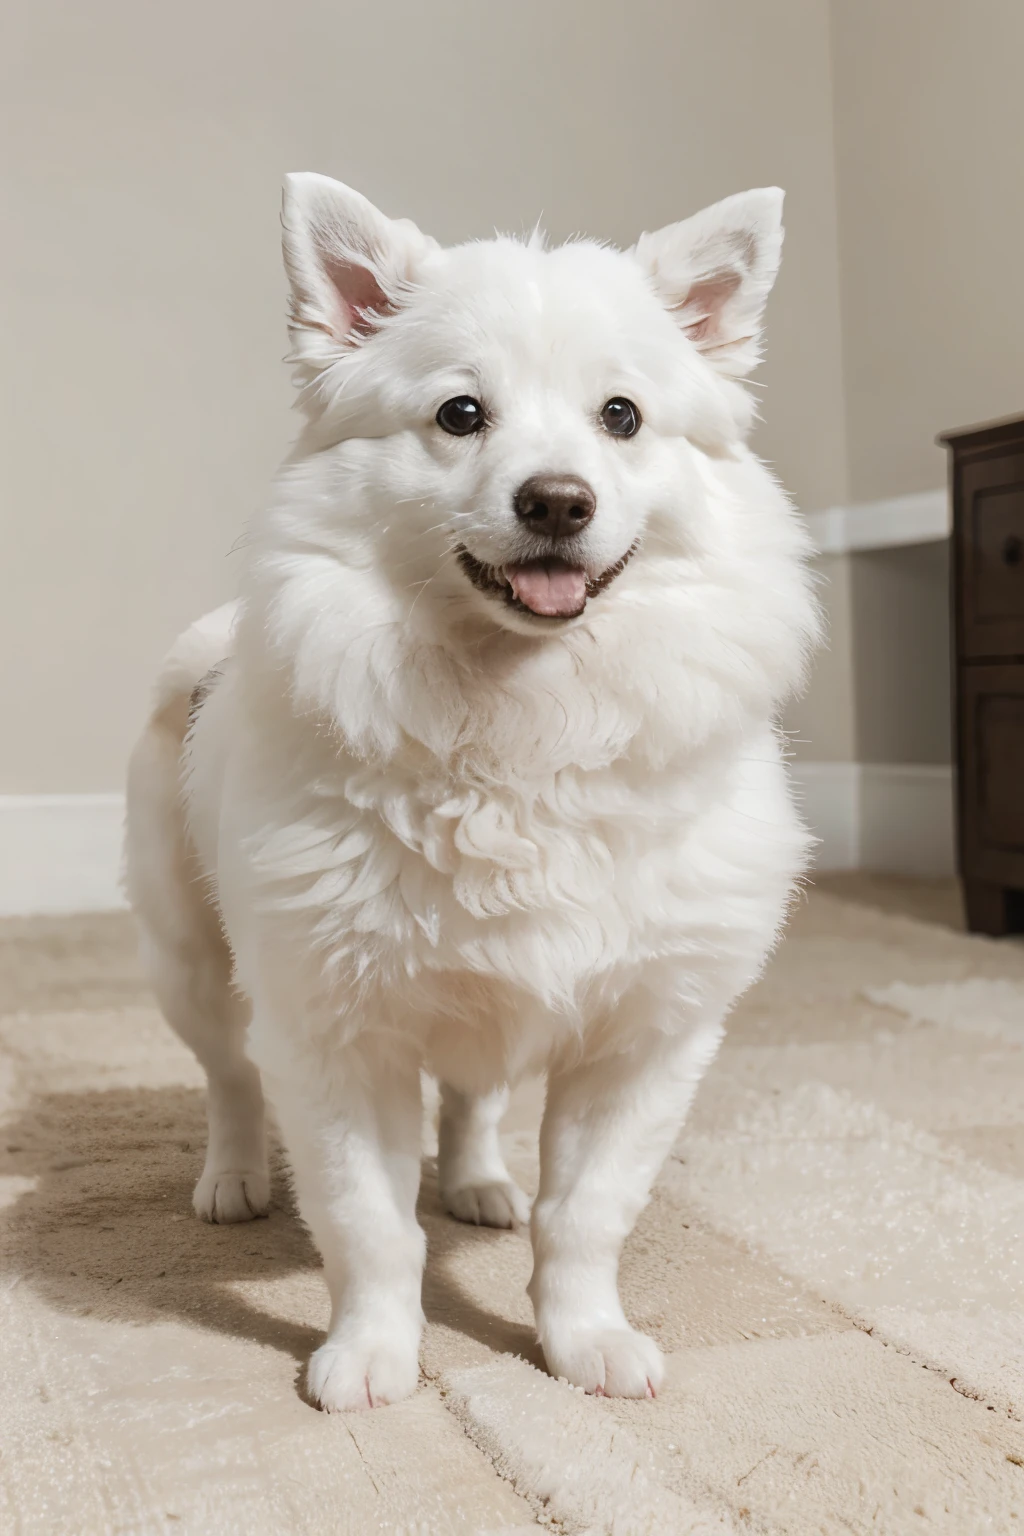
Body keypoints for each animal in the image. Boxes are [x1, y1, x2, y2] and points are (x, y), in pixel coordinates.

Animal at [125, 174, 816, 1406]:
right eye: (459, 415)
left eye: (622, 417)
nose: (557, 502)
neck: (521, 710)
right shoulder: (332, 1033)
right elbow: (368, 1224)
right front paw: (369, 1355)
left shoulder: (644, 1039)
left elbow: (583, 1215)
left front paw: (582, 1341)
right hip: (189, 962)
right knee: (229, 1076)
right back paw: (234, 1177)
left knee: (476, 1095)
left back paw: (478, 1180)